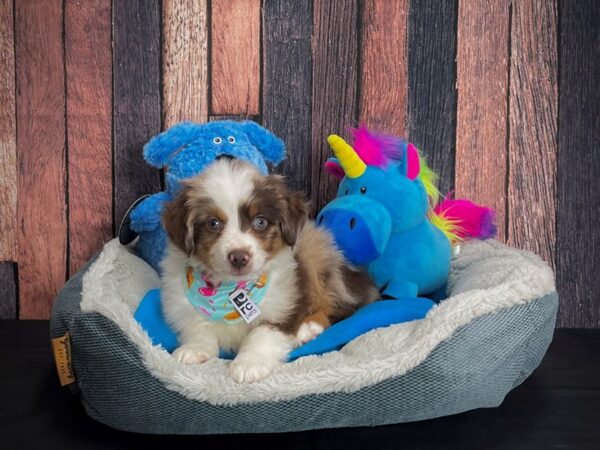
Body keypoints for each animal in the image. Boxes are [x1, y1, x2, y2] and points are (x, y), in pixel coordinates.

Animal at [159, 158, 376, 384]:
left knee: (341, 305)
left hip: (315, 253)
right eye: (213, 223)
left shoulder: (286, 302)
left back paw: (308, 328)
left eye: (260, 221)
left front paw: (248, 363)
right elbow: (198, 327)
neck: (230, 292)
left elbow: (262, 333)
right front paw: (193, 350)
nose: (239, 257)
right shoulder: (182, 305)